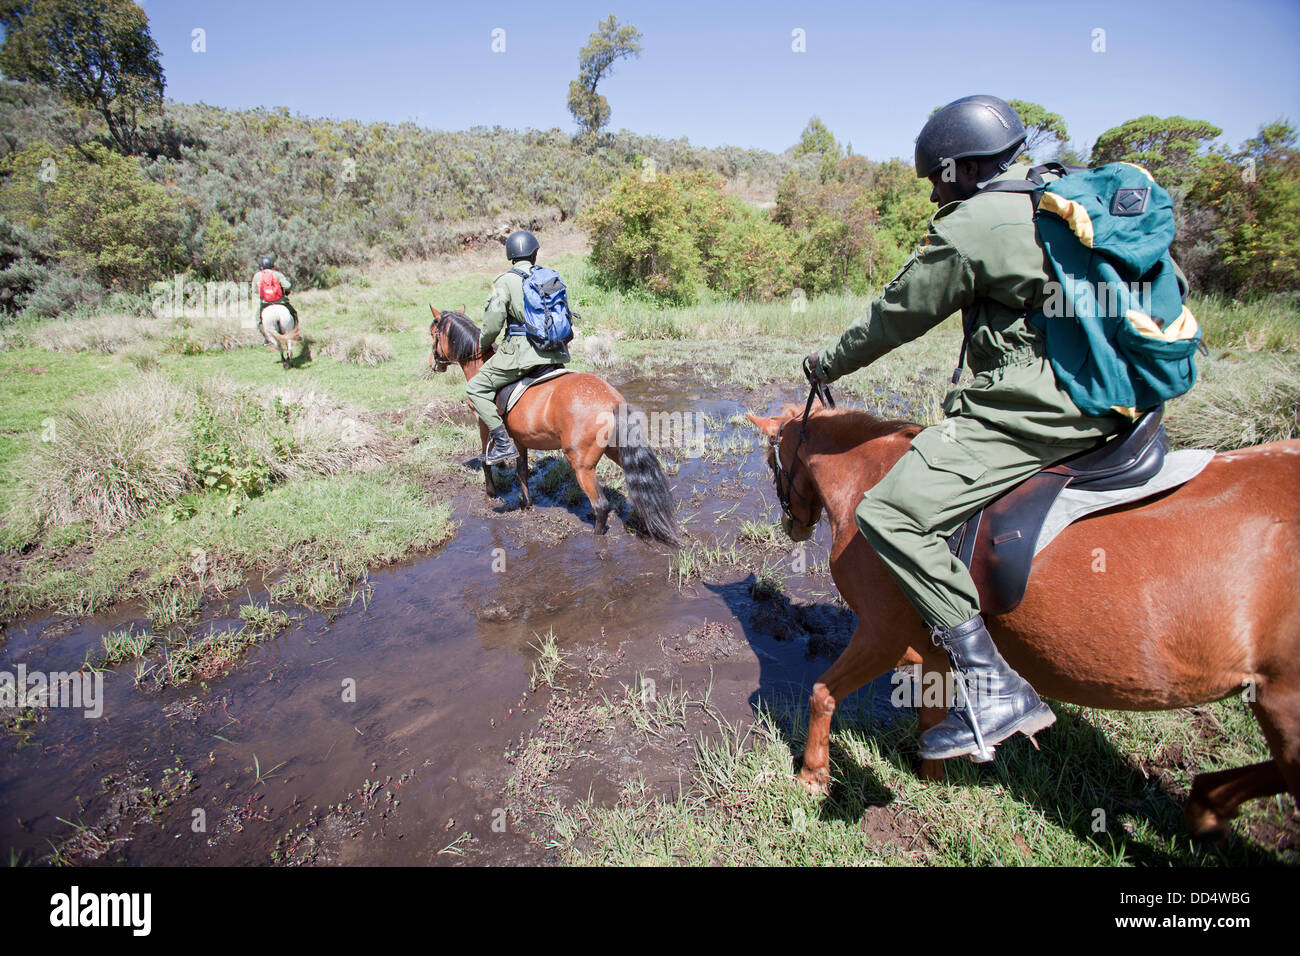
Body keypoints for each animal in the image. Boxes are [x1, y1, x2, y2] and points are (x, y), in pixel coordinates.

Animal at [434, 306, 686, 546]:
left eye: (433, 333)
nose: (434, 364)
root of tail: (612, 400)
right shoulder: (519, 439)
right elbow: (522, 471)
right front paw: (527, 504)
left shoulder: (484, 424)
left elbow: (486, 460)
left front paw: (491, 492)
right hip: (616, 451)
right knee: (641, 485)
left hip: (582, 465)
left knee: (601, 506)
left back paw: (596, 537)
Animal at [743, 403, 1300, 837]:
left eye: (772, 462)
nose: (793, 526)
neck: (875, 484)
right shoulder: (936, 646)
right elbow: (931, 716)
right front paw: (934, 781)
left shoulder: (883, 633)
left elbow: (822, 693)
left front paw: (813, 776)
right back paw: (1208, 805)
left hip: (1283, 706)